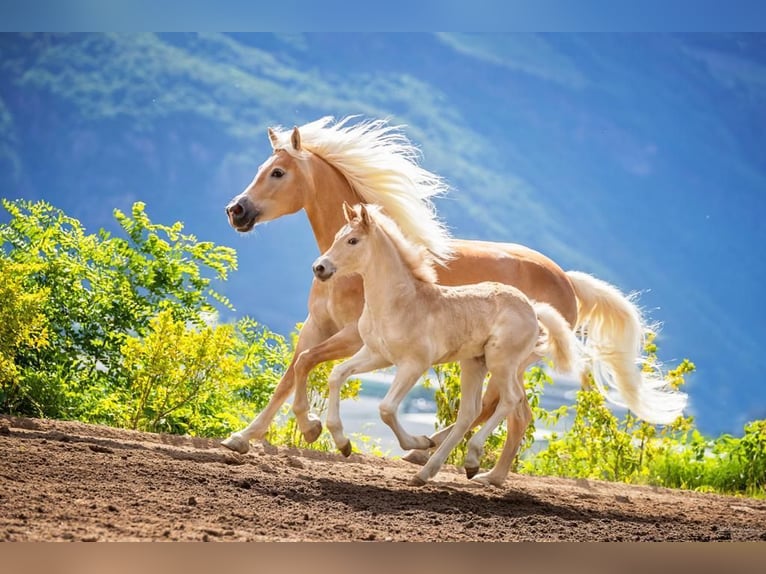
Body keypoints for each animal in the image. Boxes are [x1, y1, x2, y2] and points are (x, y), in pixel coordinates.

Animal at [312, 205, 584, 488]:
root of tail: (532, 307)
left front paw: (419, 441)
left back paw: (471, 459)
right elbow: (337, 375)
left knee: (510, 400)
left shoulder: (414, 364)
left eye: (353, 241)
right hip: (474, 363)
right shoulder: (376, 355)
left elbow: (386, 409)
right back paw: (431, 472)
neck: (400, 302)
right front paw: (343, 443)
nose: (319, 267)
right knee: (469, 412)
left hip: (501, 363)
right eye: (336, 237)